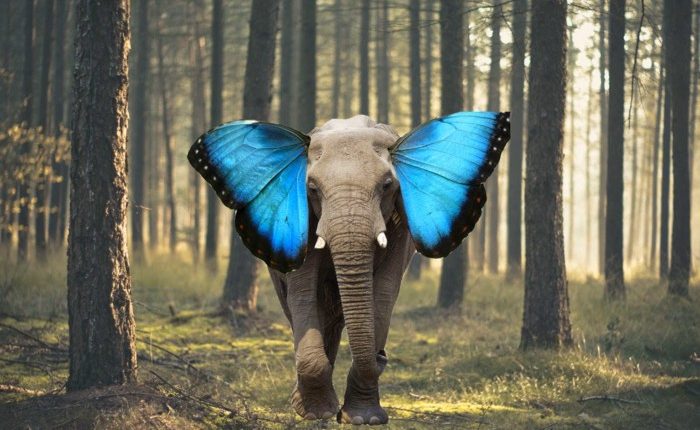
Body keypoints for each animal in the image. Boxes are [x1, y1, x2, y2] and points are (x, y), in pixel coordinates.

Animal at [188, 112, 510, 425]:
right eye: (312, 188)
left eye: (387, 185)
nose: (382, 356)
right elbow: (303, 292)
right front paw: (317, 413)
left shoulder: (400, 226)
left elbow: (383, 293)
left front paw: (363, 418)